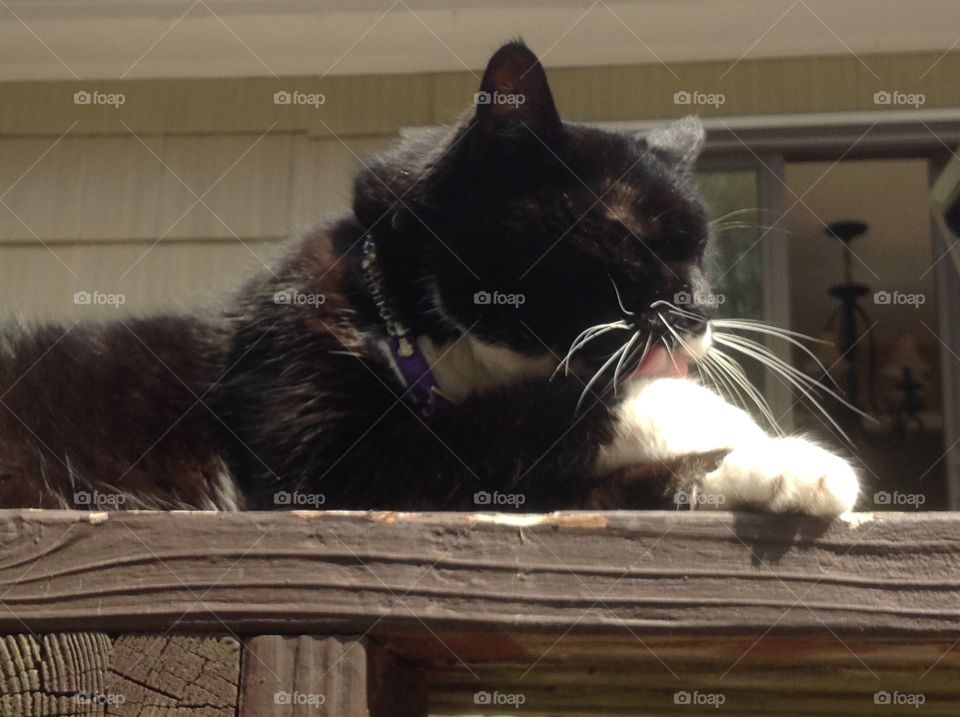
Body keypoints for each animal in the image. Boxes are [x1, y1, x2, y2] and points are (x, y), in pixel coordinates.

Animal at [0, 43, 860, 516]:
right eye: (626, 233)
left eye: (704, 249)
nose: (705, 306)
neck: (432, 346)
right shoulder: (328, 466)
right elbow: (542, 414)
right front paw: (720, 416)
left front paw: (788, 466)